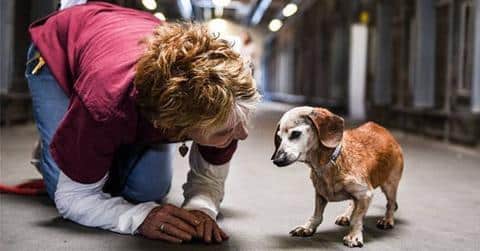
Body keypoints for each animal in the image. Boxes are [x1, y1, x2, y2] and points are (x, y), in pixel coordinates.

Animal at [272, 106, 404, 247]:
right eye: (279, 138)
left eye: (295, 134)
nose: (276, 160)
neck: (330, 163)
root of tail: (384, 131)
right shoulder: (320, 194)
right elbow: (317, 215)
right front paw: (307, 227)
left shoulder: (366, 194)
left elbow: (356, 218)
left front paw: (354, 236)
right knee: (353, 203)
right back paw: (346, 215)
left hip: (390, 185)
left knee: (390, 203)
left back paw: (387, 220)